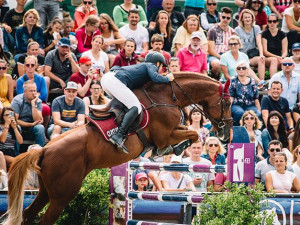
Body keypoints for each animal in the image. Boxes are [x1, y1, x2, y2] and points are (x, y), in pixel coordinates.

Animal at [2, 72, 232, 225]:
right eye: (228, 103)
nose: (227, 133)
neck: (166, 97)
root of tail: (43, 150)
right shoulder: (165, 135)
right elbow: (192, 134)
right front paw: (174, 149)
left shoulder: (173, 130)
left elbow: (188, 130)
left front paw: (171, 149)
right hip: (63, 194)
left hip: (46, 191)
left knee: (28, 215)